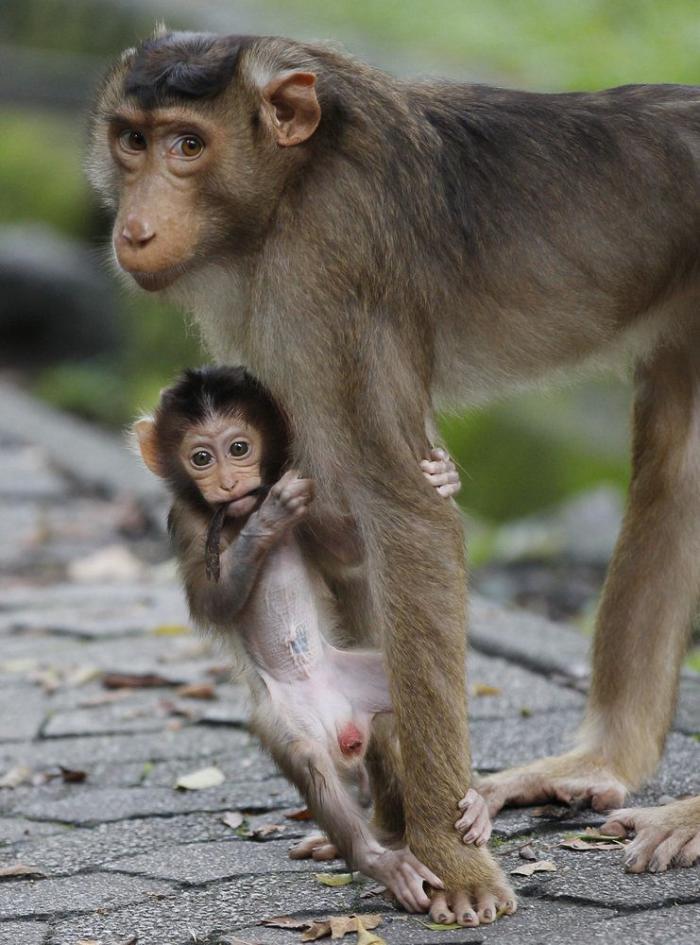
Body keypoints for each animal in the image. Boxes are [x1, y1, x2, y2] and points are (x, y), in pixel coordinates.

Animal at [133, 365, 492, 913]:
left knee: (405, 699)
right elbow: (213, 603)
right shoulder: (188, 522)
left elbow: (348, 552)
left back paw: (472, 801)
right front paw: (266, 520)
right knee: (309, 760)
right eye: (201, 458)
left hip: (364, 680)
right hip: (286, 718)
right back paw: (380, 859)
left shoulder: (313, 514)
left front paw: (443, 476)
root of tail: (343, 727)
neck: (233, 515)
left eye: (239, 448)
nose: (230, 483)